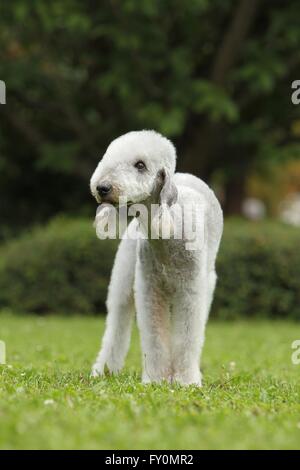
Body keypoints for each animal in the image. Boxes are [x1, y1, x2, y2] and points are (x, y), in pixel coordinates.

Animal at [89, 129, 223, 386]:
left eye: (140, 165)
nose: (102, 187)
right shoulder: (149, 289)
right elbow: (154, 336)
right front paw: (155, 379)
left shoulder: (190, 290)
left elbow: (187, 335)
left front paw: (186, 381)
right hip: (124, 277)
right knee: (117, 322)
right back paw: (103, 370)